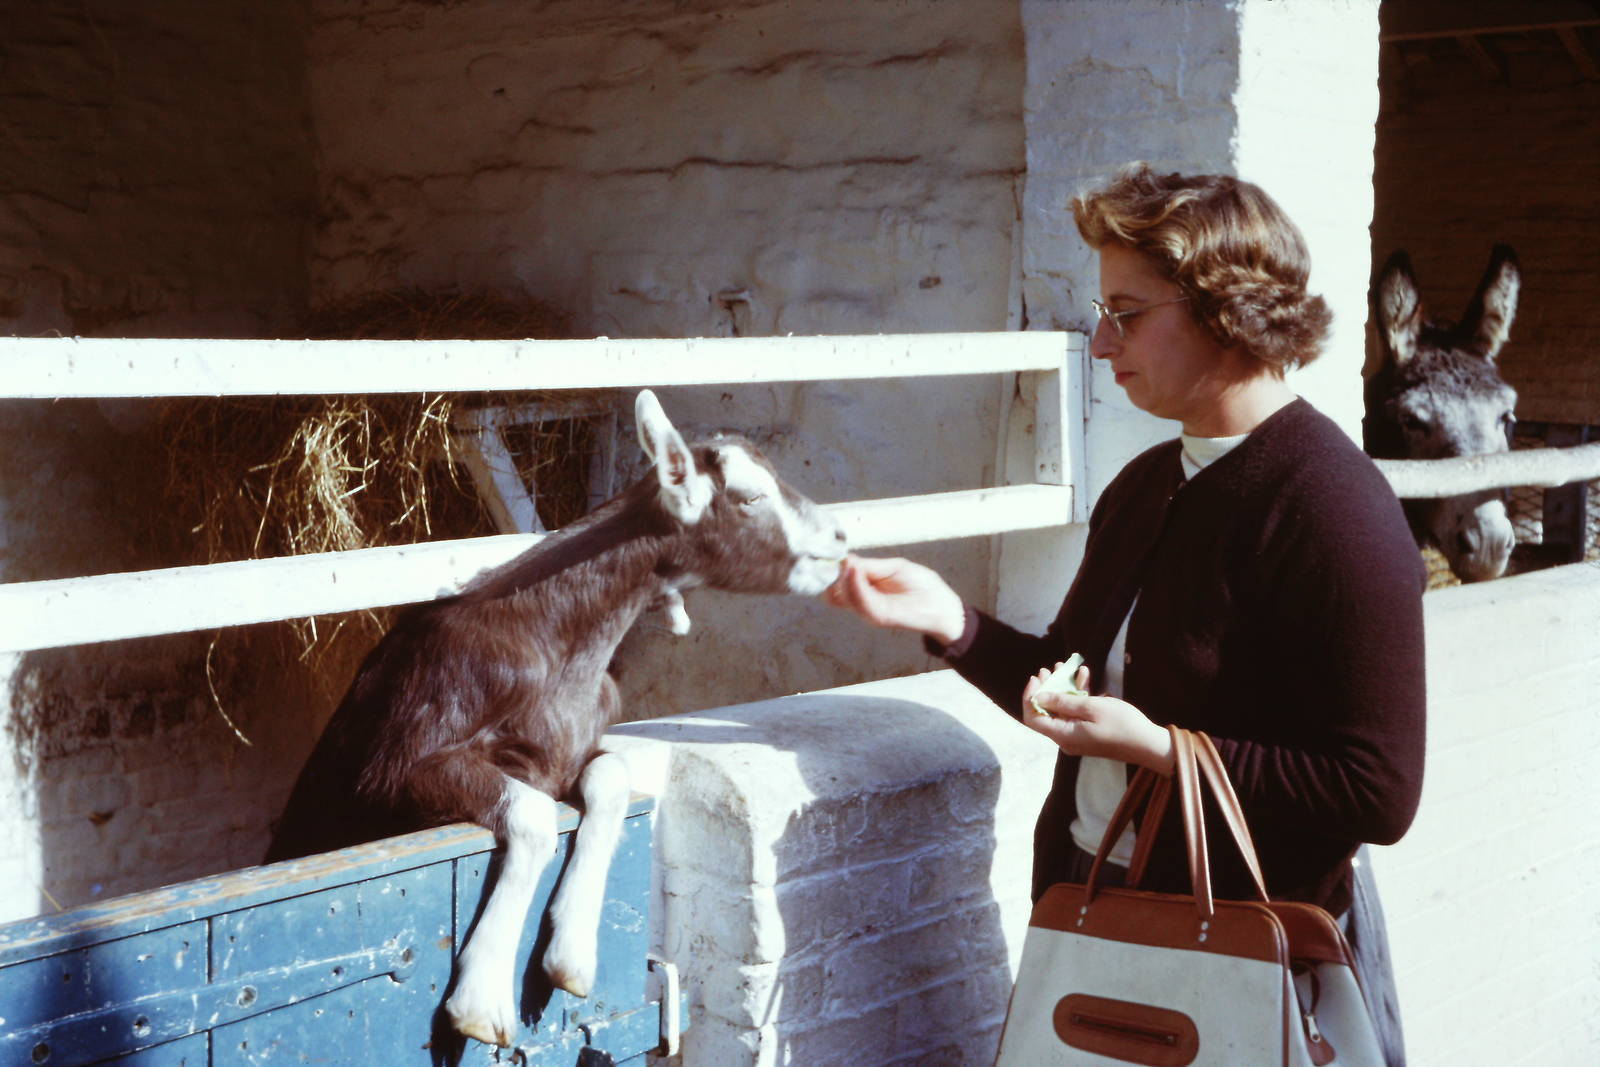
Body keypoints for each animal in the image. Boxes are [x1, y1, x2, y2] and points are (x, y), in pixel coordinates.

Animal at [264, 389, 849, 1047]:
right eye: (750, 497)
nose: (840, 535)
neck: (559, 646)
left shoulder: (574, 747)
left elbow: (612, 776)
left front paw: (572, 954)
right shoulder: (397, 767)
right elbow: (535, 814)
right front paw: (482, 998)